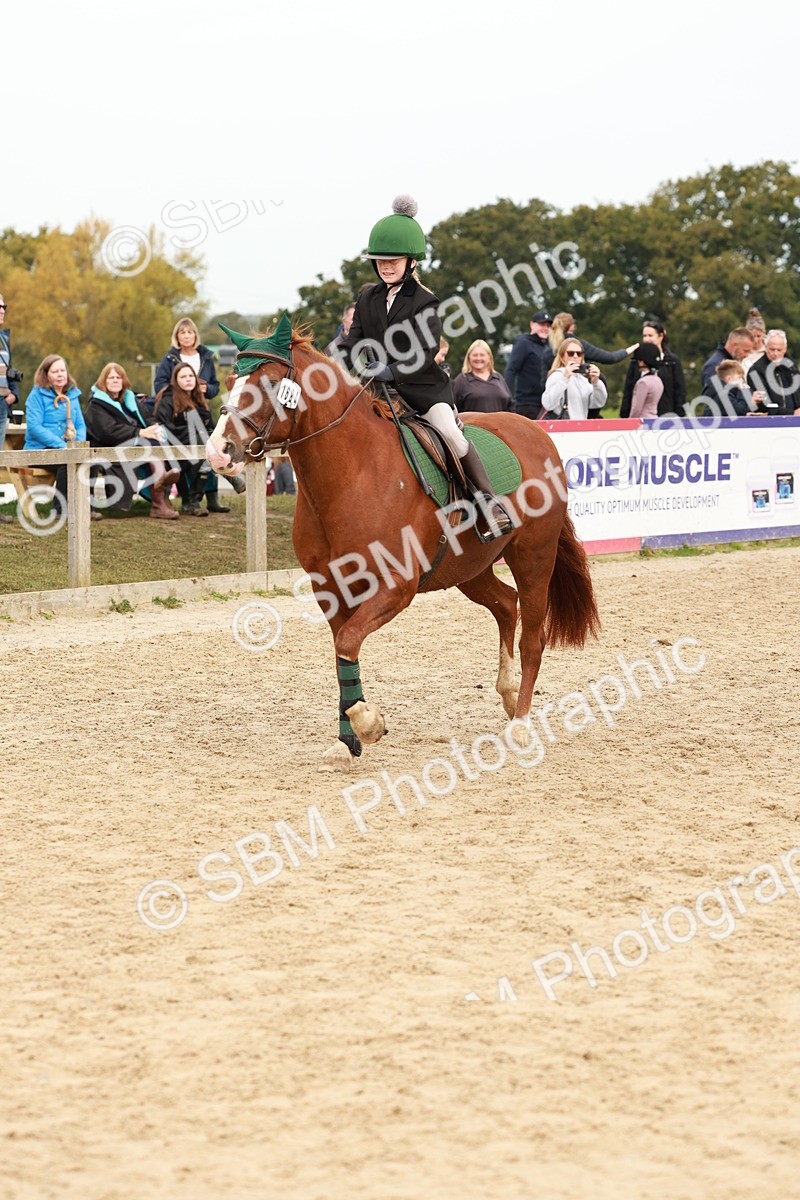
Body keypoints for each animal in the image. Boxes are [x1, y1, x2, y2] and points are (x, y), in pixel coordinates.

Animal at [207, 320, 599, 773]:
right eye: (232, 382)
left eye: (270, 384)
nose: (218, 452)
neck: (353, 473)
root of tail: (536, 432)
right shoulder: (330, 590)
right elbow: (342, 656)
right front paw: (347, 742)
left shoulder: (396, 587)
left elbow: (347, 643)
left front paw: (368, 725)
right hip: (469, 569)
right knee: (505, 604)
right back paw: (507, 692)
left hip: (533, 557)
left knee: (532, 636)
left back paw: (519, 722)